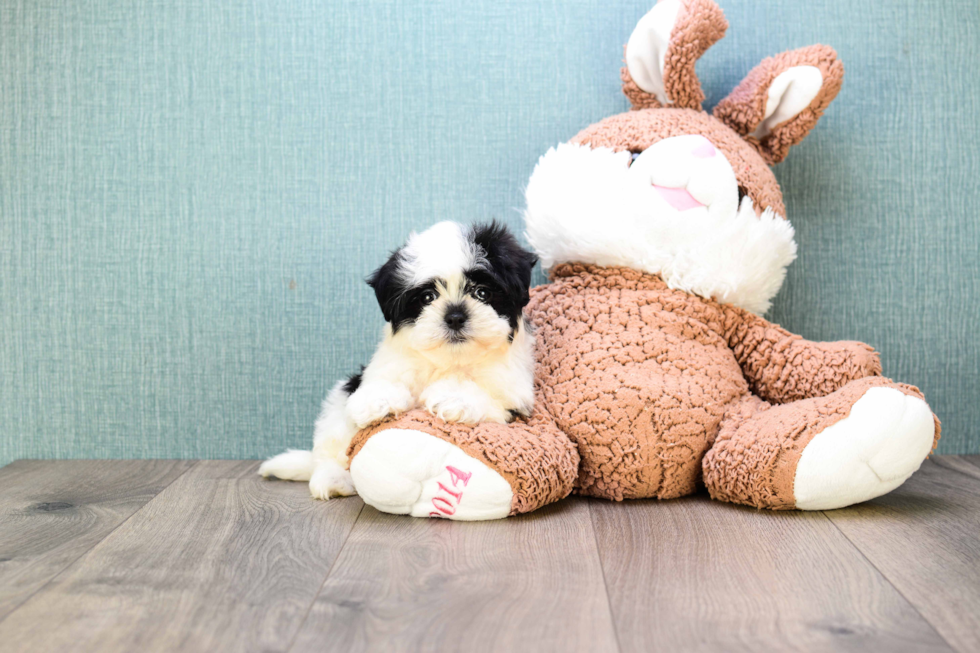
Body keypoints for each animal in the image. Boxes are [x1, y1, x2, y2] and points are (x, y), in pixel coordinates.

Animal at [258, 220, 536, 500]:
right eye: (427, 297)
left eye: (482, 292)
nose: (455, 316)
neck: (449, 360)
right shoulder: (386, 366)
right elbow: (384, 382)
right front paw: (377, 400)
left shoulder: (514, 395)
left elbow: (486, 396)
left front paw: (455, 397)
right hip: (339, 400)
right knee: (329, 448)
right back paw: (333, 478)